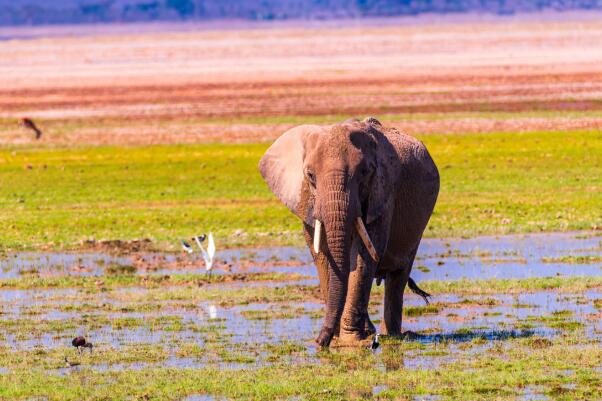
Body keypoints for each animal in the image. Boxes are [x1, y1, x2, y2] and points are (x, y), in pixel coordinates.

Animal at [256, 115, 436, 344]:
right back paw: (372, 331)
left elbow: (364, 255)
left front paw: (349, 340)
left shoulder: (383, 194)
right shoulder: (306, 201)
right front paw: (338, 338)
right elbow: (322, 255)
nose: (319, 343)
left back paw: (391, 335)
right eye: (310, 175)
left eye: (365, 173)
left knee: (398, 275)